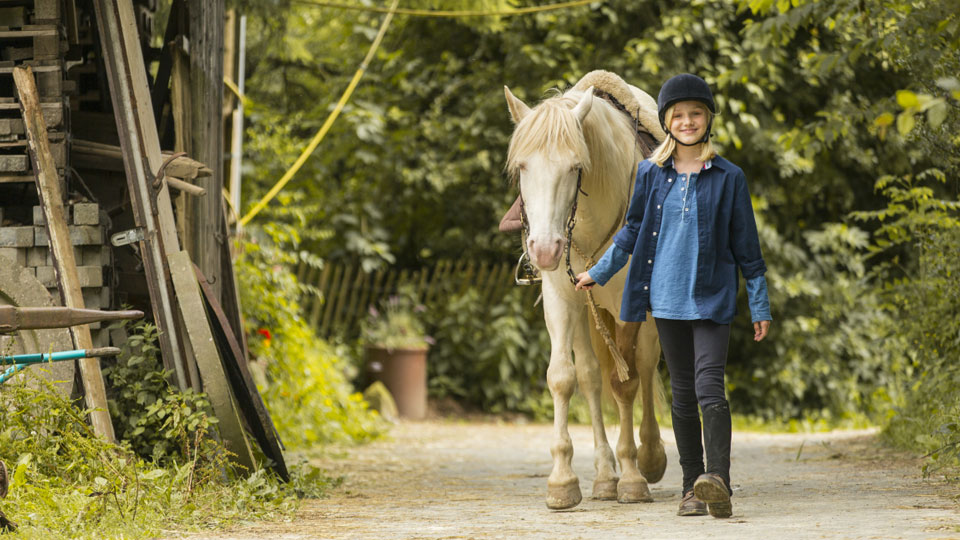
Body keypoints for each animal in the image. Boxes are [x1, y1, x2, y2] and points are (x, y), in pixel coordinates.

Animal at [502, 76, 668, 510]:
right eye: (522, 167)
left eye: (576, 168)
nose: (544, 249)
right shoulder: (562, 300)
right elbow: (563, 378)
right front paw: (563, 481)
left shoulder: (631, 304)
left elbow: (626, 383)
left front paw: (633, 477)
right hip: (584, 312)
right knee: (592, 376)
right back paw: (605, 475)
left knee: (645, 366)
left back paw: (649, 456)